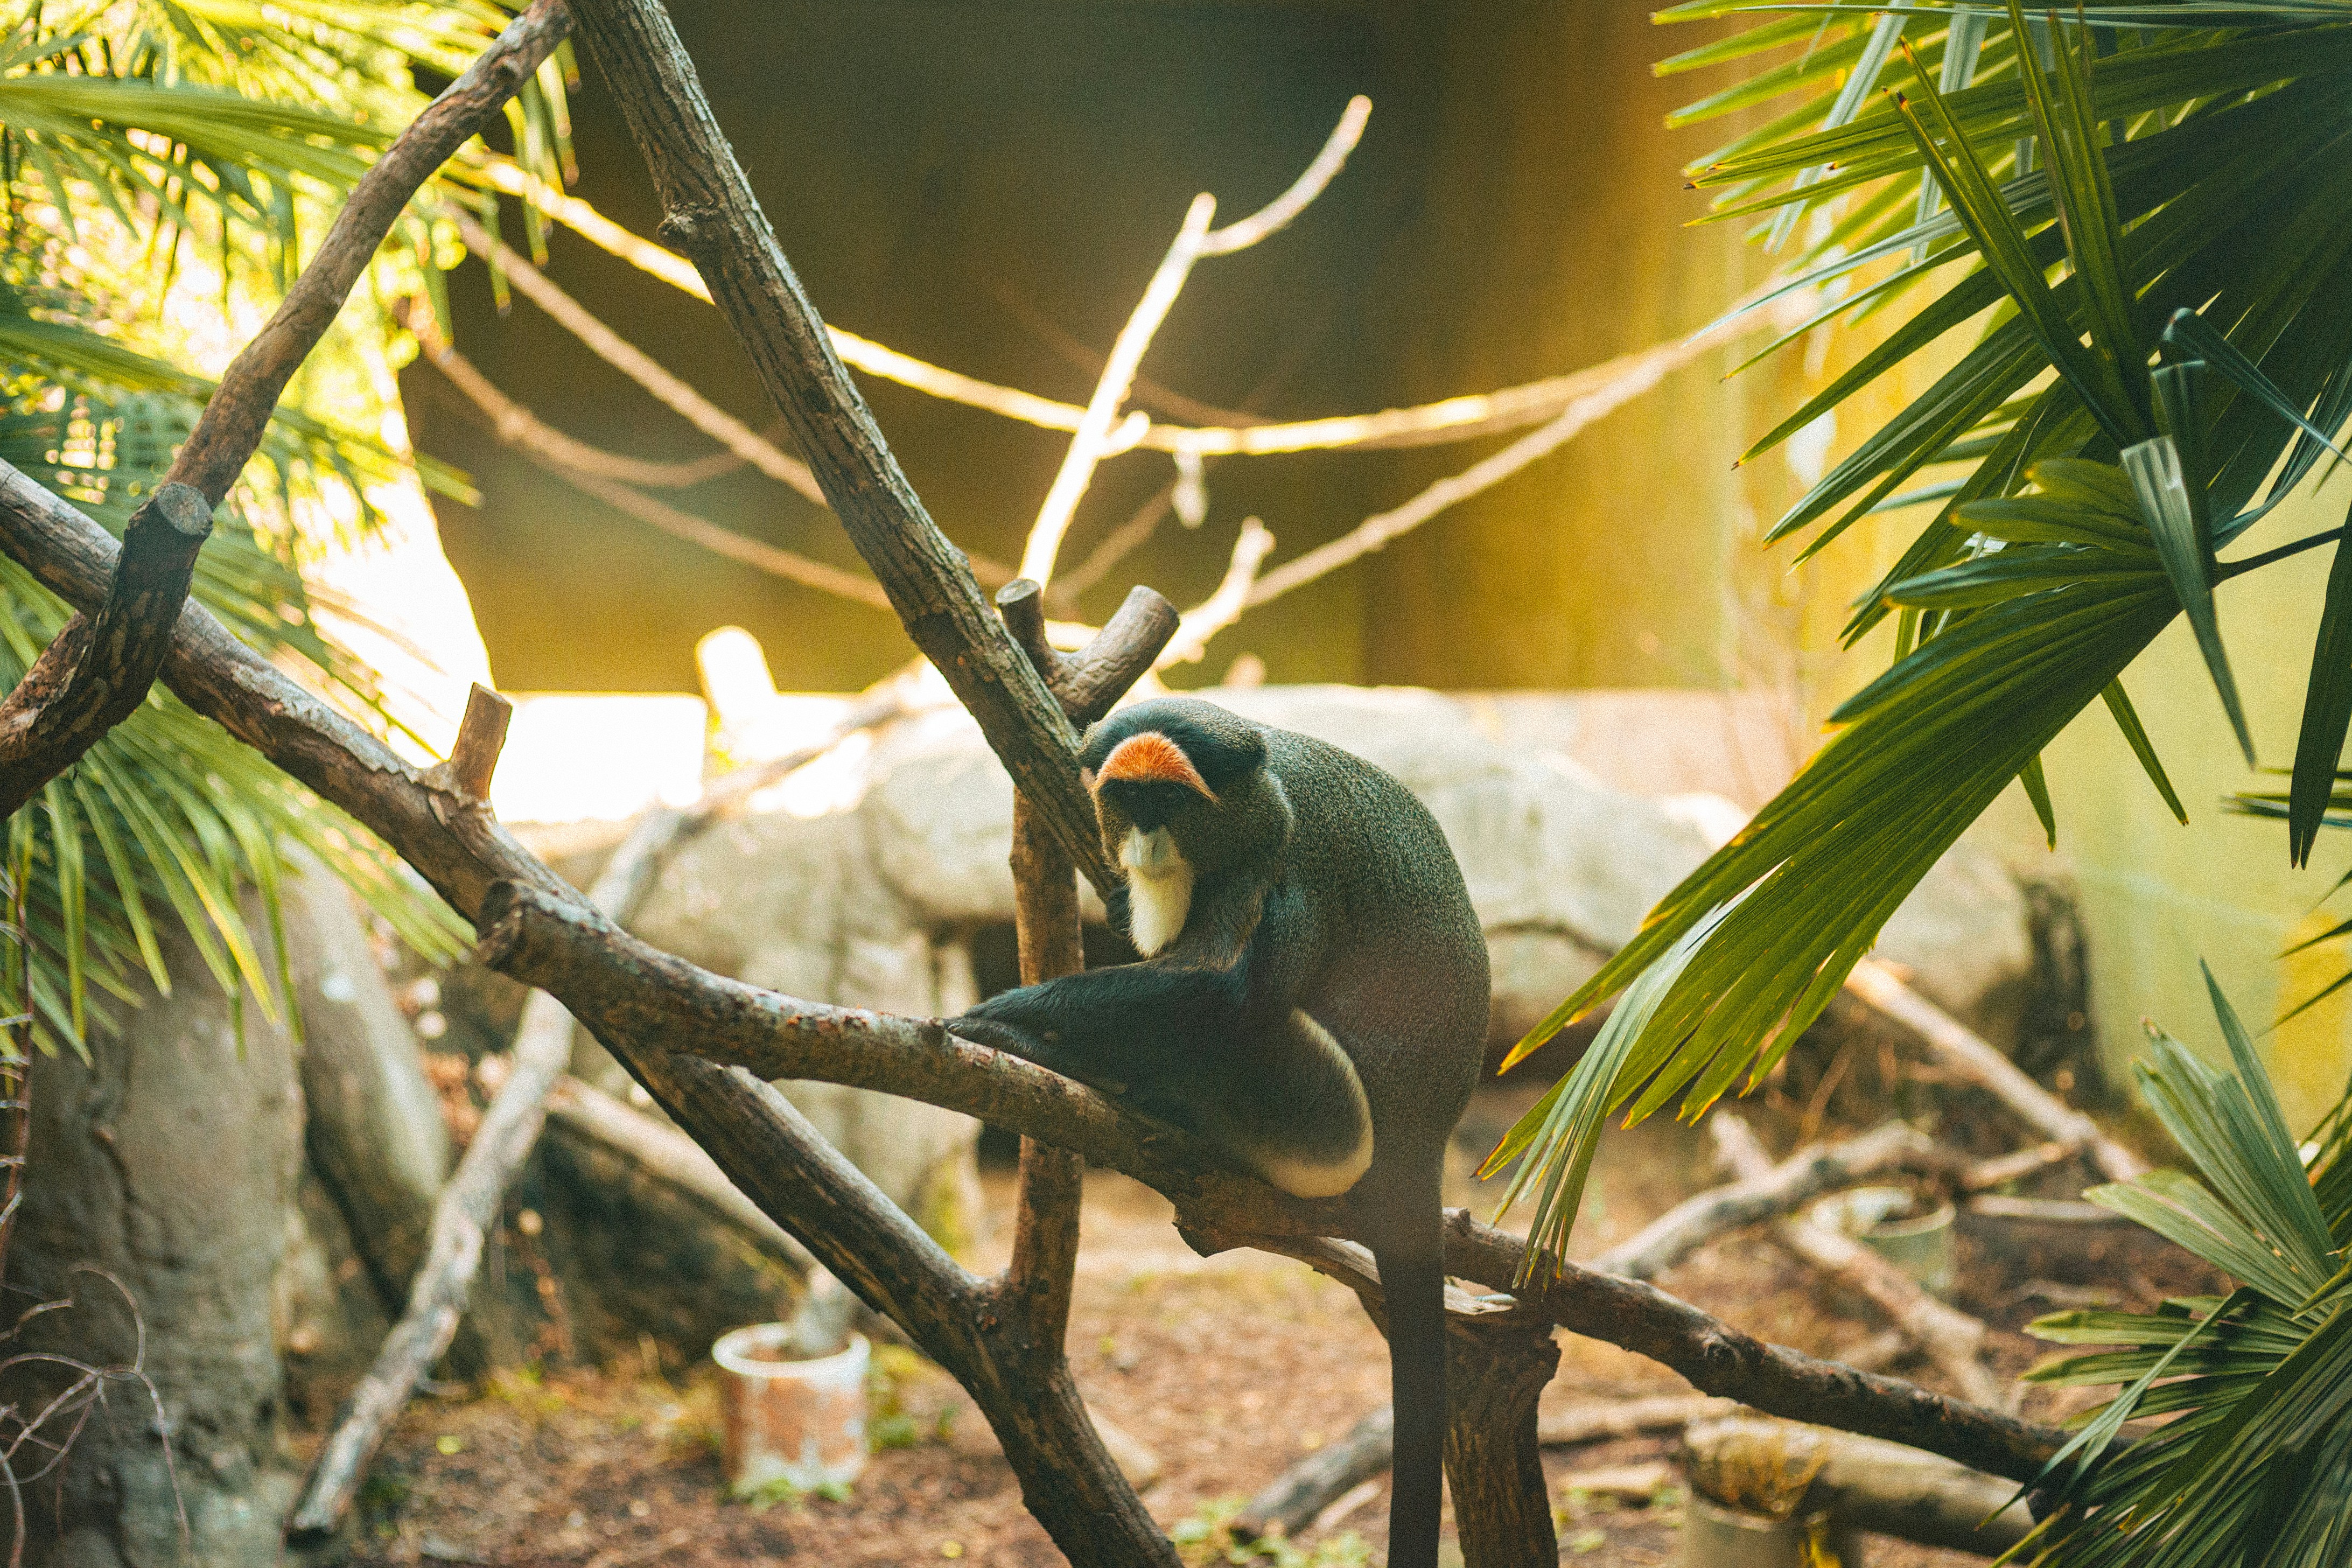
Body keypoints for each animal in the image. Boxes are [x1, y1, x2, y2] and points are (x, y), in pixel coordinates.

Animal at [949, 696, 1488, 1568]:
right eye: (1128, 800)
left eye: (1170, 802)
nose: (1146, 842)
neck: (1255, 798)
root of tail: (1423, 1149)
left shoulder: (1282, 862)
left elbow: (1218, 988)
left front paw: (1002, 1015)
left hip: (1322, 1115)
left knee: (1241, 1021)